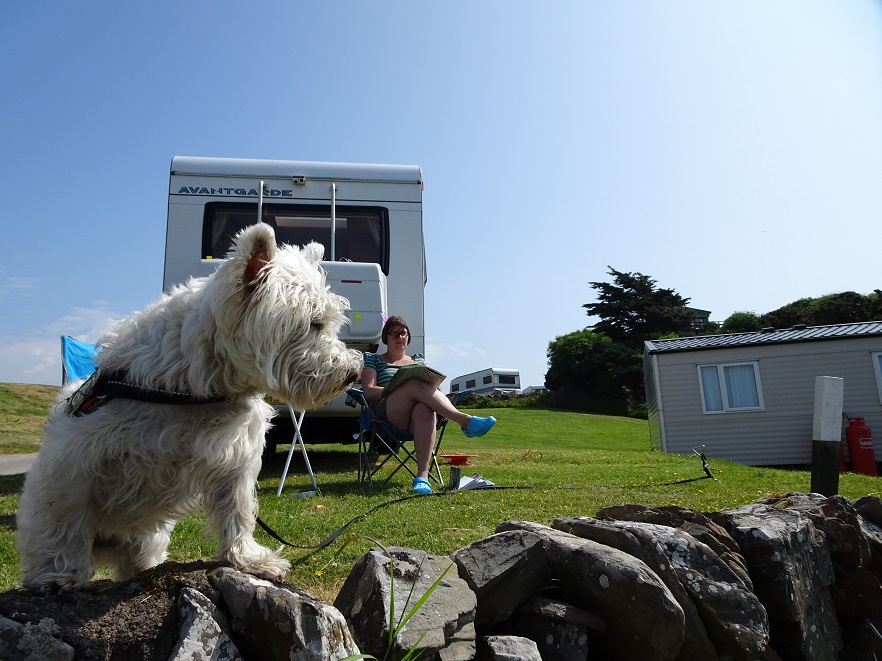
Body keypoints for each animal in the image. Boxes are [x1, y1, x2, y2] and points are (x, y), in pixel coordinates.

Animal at [18, 224, 360, 592]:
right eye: (314, 323)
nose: (352, 373)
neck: (194, 386)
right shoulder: (77, 463)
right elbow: (67, 521)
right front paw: (60, 574)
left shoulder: (234, 463)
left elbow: (237, 511)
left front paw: (250, 560)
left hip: (147, 542)